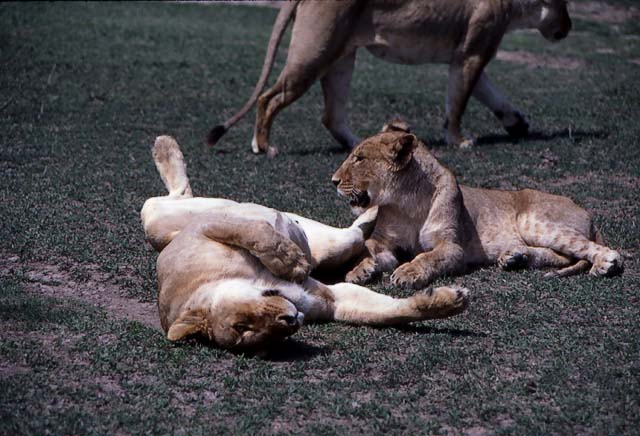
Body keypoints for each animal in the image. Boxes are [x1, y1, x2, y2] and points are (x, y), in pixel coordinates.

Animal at [140, 136, 469, 351]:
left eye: (240, 324)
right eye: (251, 336)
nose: (290, 321)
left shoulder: (209, 228)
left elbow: (255, 234)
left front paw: (290, 261)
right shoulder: (332, 300)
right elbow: (392, 312)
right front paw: (446, 301)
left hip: (169, 218)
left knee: (166, 198)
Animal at [208, 0, 571, 153]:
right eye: (564, 3)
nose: (568, 28)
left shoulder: (467, 56)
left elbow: (489, 95)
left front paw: (517, 123)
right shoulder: (472, 54)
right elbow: (459, 104)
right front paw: (459, 141)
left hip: (341, 58)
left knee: (331, 115)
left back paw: (359, 144)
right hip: (315, 53)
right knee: (269, 99)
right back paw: (263, 146)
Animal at [331, 121, 624, 289]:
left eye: (359, 158)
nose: (333, 180)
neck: (405, 203)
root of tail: (586, 212)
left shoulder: (452, 246)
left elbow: (427, 257)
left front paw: (408, 272)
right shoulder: (385, 242)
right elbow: (366, 248)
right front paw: (359, 270)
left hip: (535, 221)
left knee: (592, 249)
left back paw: (604, 265)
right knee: (563, 256)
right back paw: (515, 258)